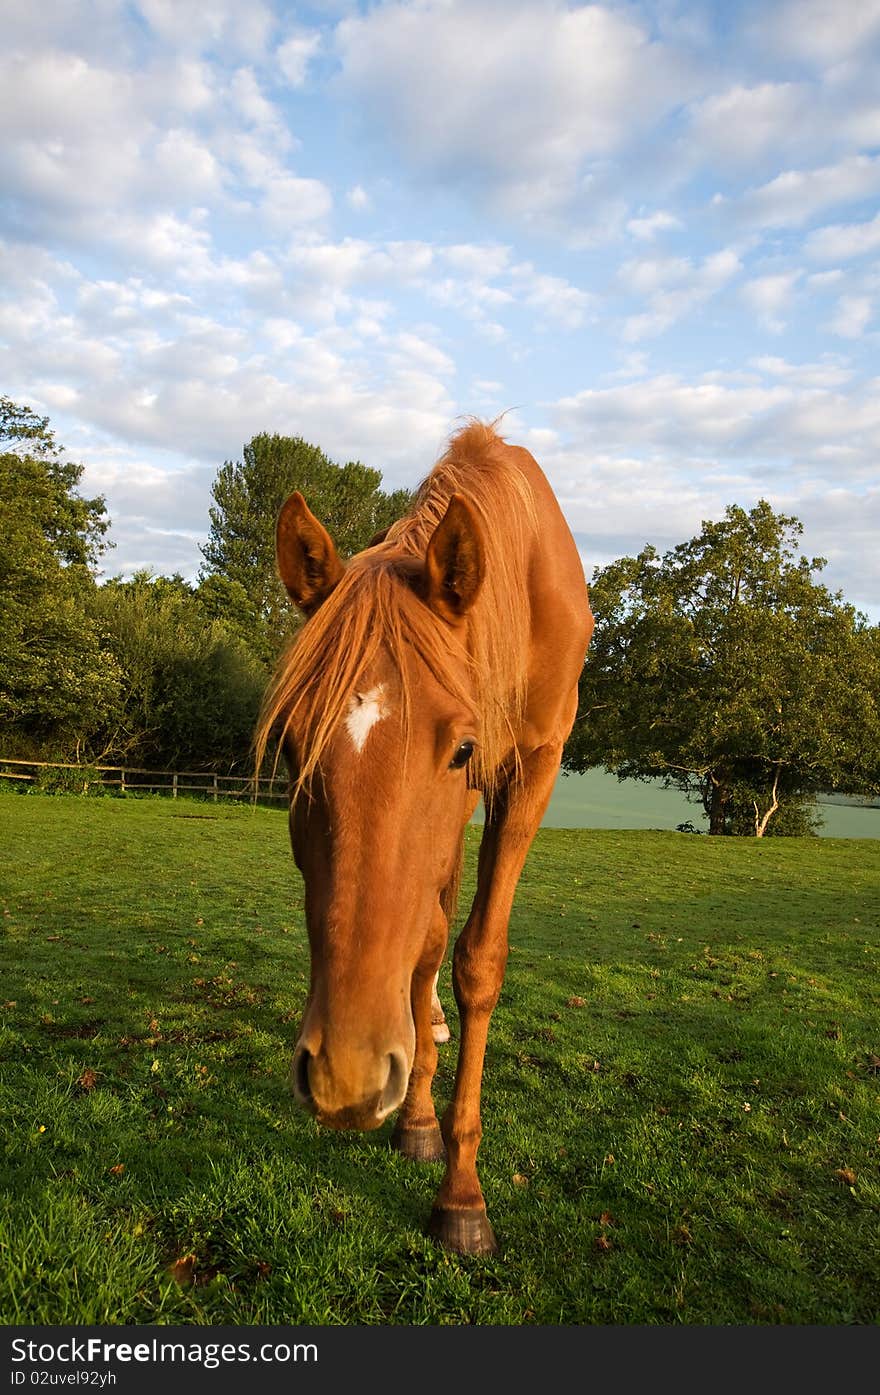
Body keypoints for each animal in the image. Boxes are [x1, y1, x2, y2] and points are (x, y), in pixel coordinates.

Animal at [258, 415, 596, 1255]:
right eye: (290, 745)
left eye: (462, 748)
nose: (344, 1078)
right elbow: (425, 947)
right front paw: (416, 1120)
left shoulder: (532, 769)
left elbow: (480, 959)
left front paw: (463, 1193)